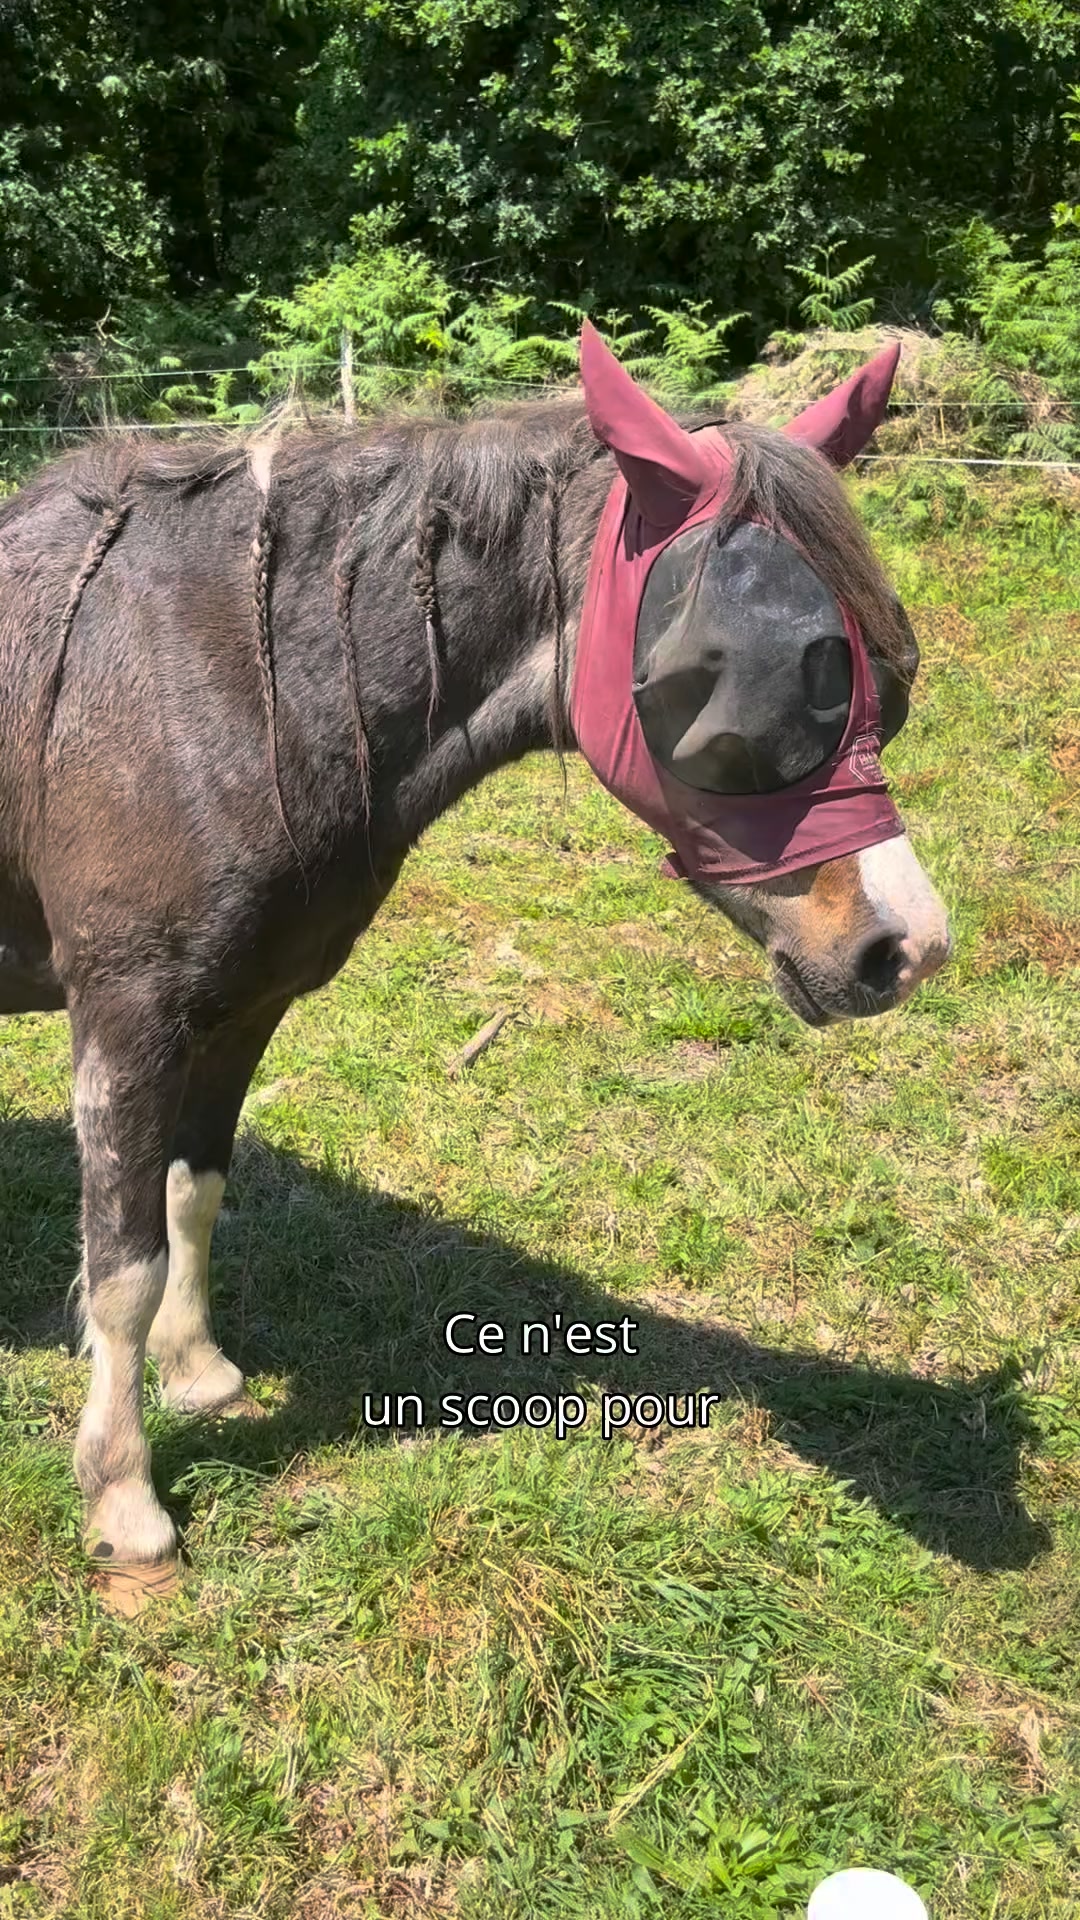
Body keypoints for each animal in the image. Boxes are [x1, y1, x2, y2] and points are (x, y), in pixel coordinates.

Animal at [0, 327, 949, 1604]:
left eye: (889, 670)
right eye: (733, 680)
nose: (905, 948)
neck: (226, 676)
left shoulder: (241, 1004)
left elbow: (192, 1195)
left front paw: (198, 1371)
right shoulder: (127, 1016)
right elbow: (122, 1264)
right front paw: (124, 1500)